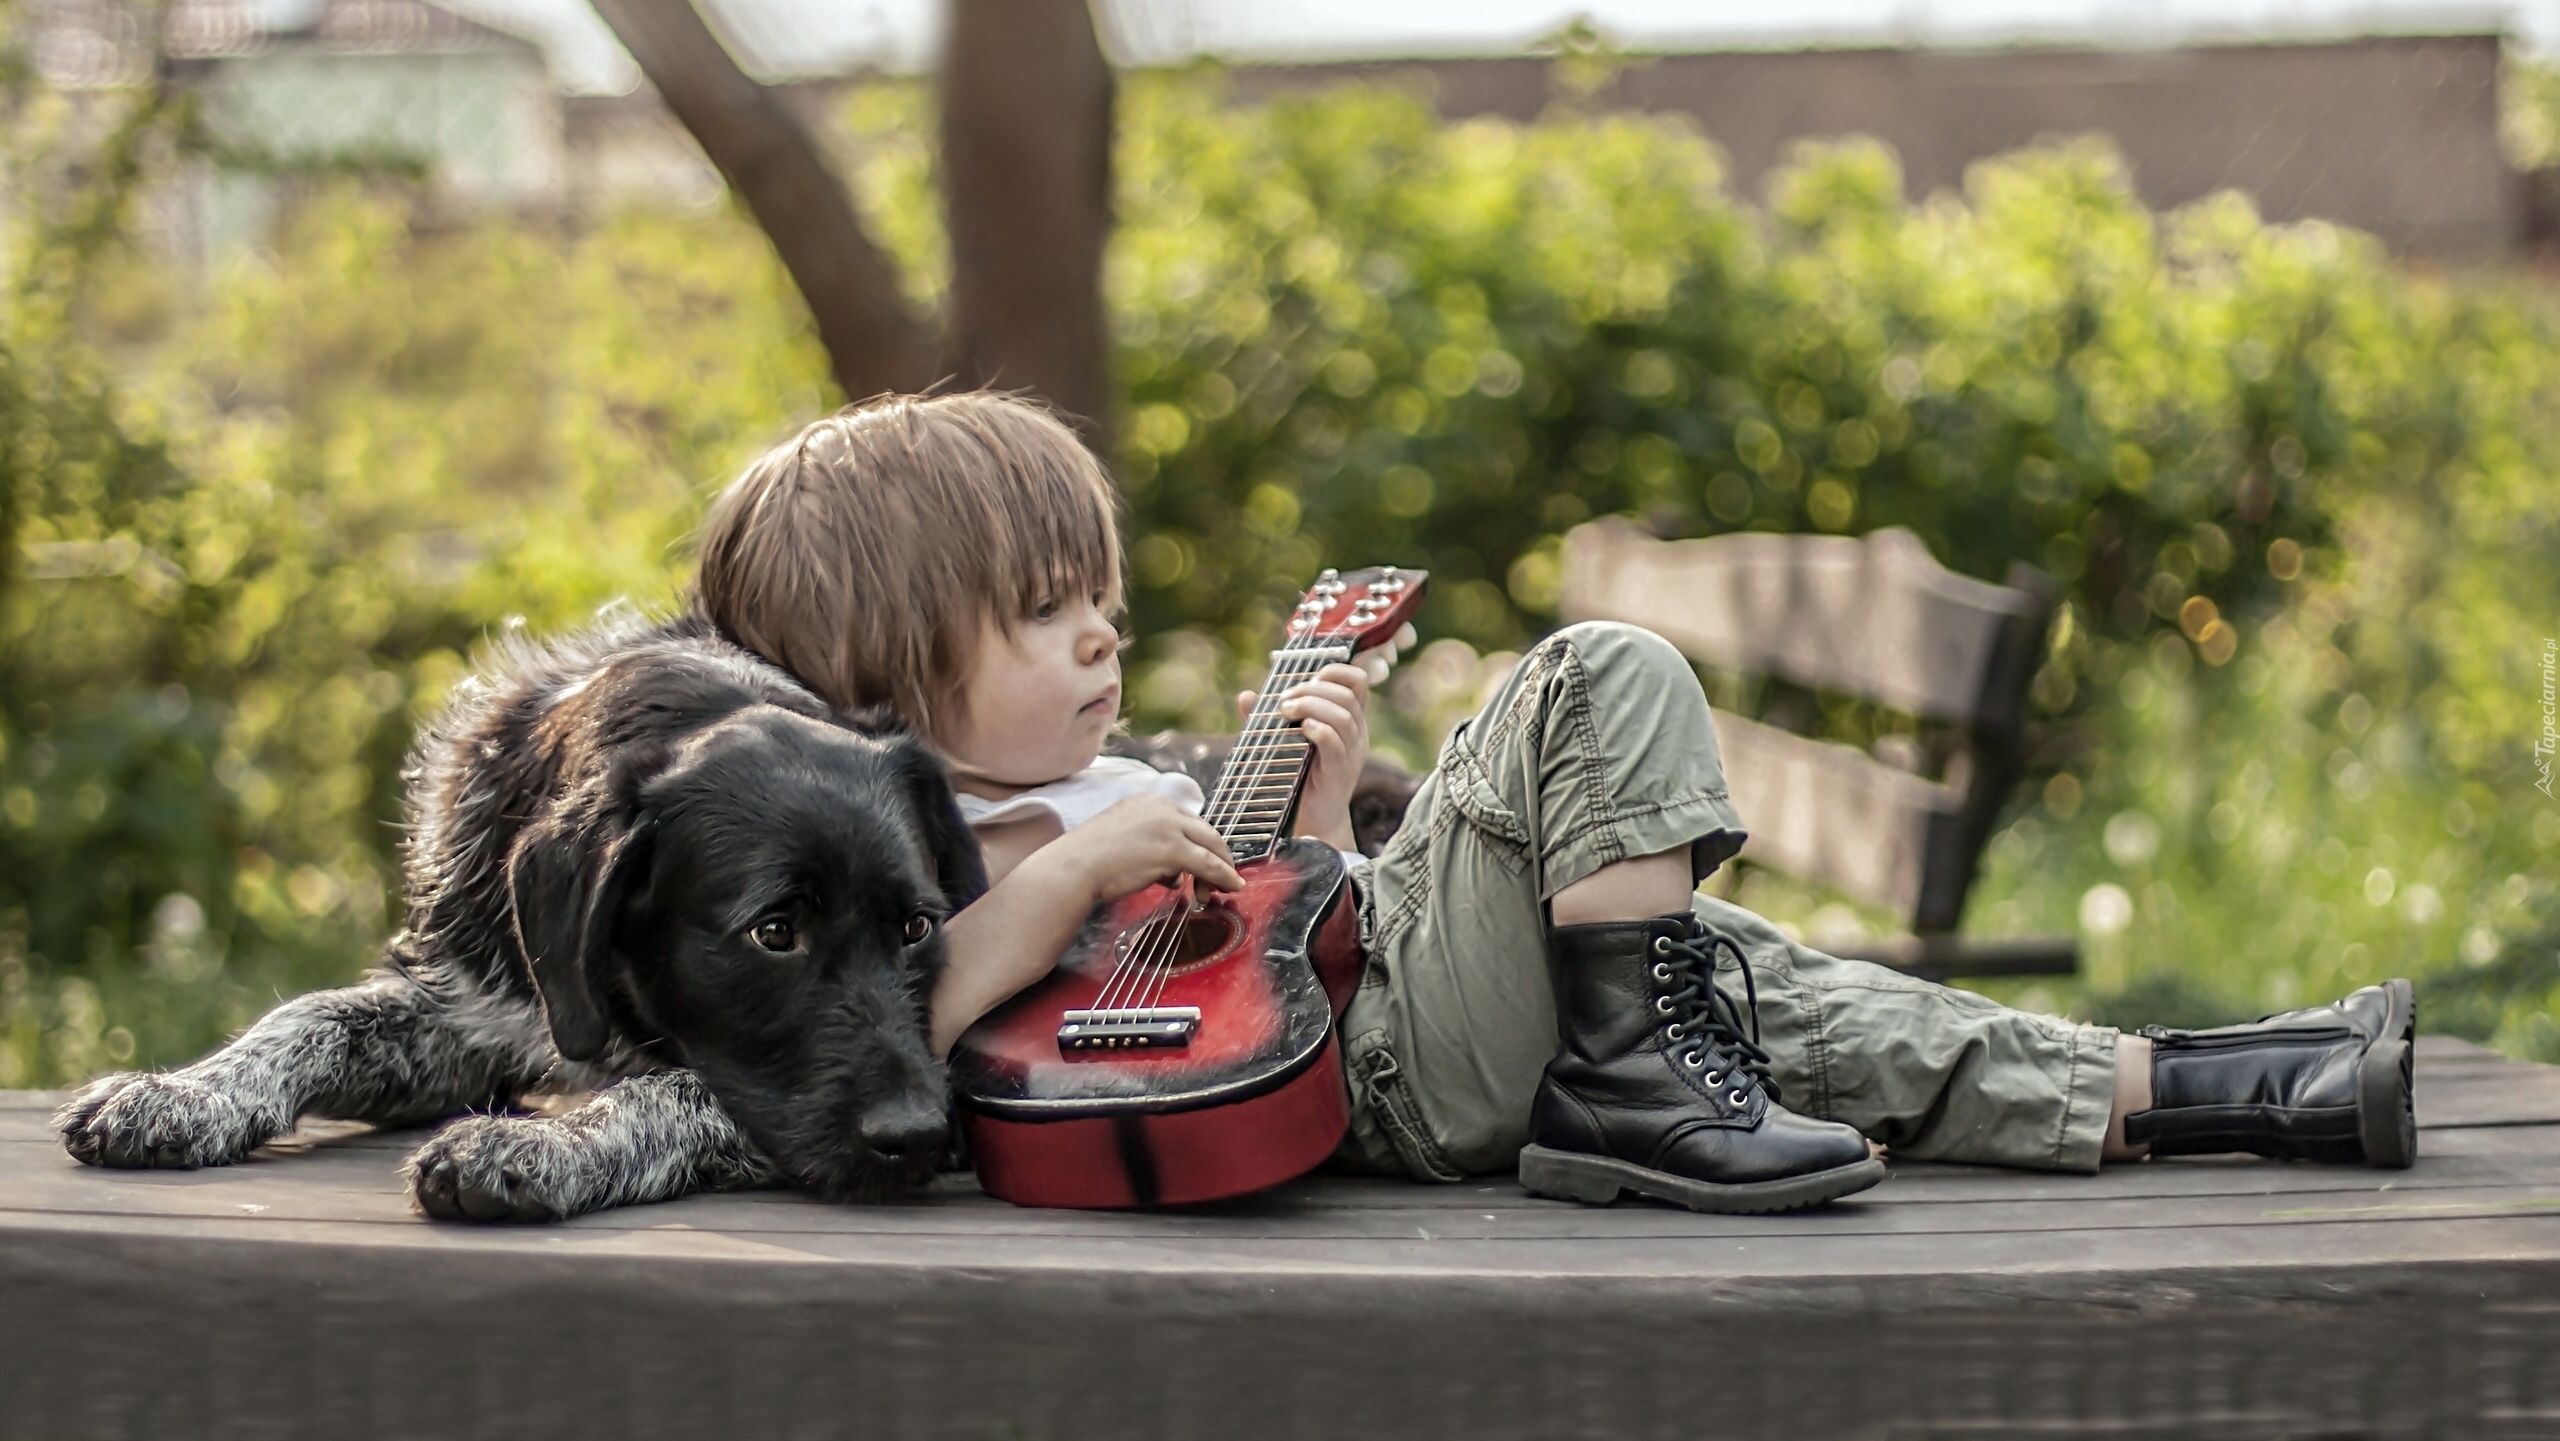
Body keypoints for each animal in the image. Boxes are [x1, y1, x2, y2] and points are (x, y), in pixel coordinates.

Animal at [62, 609, 977, 1218]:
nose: (925, 1134)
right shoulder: (465, 1018)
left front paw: (534, 1144)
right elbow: (310, 1016)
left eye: (916, 928)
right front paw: (187, 1091)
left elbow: (672, 1087)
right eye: (775, 931)